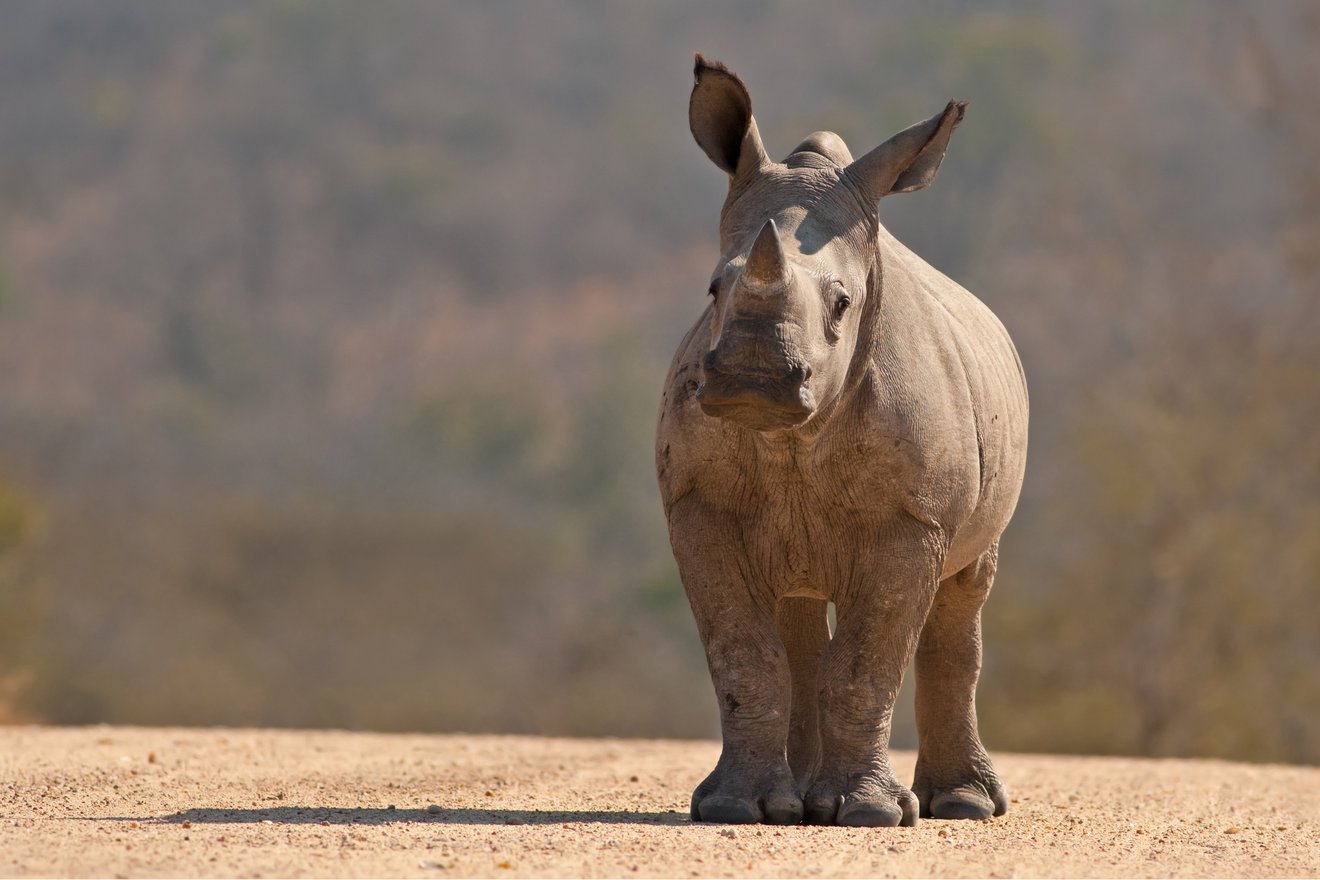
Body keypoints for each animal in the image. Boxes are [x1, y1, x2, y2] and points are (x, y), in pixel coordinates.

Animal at [654, 55, 1024, 828]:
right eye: (712, 290)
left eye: (842, 305)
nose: (753, 379)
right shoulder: (697, 506)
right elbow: (742, 657)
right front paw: (733, 807)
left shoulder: (913, 519)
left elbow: (866, 663)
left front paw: (869, 815)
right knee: (795, 611)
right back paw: (791, 801)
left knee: (963, 598)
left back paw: (964, 805)